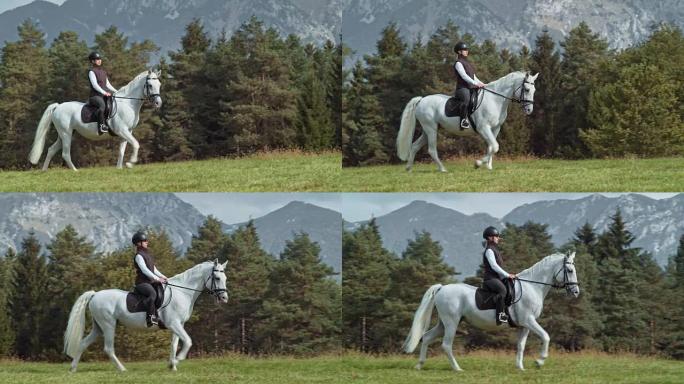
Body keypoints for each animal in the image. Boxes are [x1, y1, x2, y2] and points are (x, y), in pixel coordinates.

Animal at [30, 69, 164, 171]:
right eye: (150, 85)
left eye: (159, 85)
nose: (158, 103)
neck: (127, 104)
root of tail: (58, 106)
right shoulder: (122, 131)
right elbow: (136, 144)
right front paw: (131, 163)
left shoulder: (127, 132)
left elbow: (122, 150)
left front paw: (119, 168)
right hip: (66, 133)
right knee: (65, 154)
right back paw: (75, 171)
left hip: (64, 134)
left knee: (51, 150)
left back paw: (44, 171)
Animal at [63, 260, 227, 370]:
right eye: (217, 278)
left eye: (225, 278)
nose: (224, 298)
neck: (182, 292)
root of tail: (95, 295)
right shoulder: (174, 324)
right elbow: (188, 341)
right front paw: (178, 360)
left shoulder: (179, 324)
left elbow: (174, 345)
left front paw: (172, 366)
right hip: (108, 325)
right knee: (108, 349)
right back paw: (122, 369)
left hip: (98, 327)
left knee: (83, 343)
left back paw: (73, 369)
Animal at [396, 71, 540, 172]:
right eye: (527, 89)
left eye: (534, 90)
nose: (529, 110)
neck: (495, 100)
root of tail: (421, 100)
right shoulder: (484, 128)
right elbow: (495, 146)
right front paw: (478, 164)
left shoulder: (495, 128)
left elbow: (492, 147)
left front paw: (488, 167)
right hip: (431, 129)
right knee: (431, 150)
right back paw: (442, 169)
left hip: (429, 129)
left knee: (415, 146)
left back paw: (408, 168)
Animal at [404, 252, 580, 372]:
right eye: (570, 270)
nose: (576, 292)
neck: (532, 286)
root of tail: (442, 288)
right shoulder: (529, 320)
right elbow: (546, 336)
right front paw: (540, 361)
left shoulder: (524, 325)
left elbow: (521, 345)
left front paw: (520, 367)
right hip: (451, 323)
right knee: (446, 345)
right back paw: (457, 368)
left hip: (444, 323)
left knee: (426, 337)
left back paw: (419, 365)